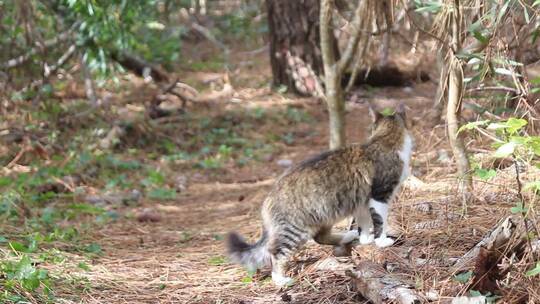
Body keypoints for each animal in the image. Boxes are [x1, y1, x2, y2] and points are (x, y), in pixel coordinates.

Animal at [226, 103, 412, 286]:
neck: (385, 139)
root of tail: (268, 197)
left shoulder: (362, 202)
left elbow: (364, 224)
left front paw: (365, 239)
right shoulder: (380, 195)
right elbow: (380, 222)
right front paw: (382, 241)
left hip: (325, 215)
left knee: (320, 237)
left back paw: (348, 235)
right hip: (295, 230)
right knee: (276, 252)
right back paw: (281, 280)